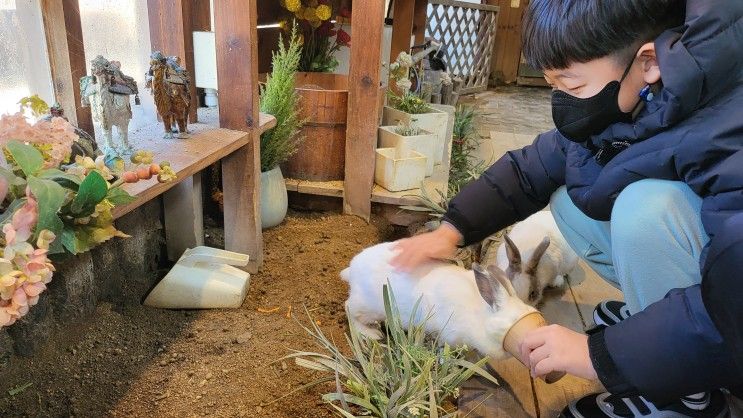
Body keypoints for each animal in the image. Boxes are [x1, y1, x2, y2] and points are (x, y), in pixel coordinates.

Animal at [340, 243, 536, 360]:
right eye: (512, 321)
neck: (480, 315)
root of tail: (352, 269)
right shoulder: (449, 335)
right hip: (368, 306)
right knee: (349, 309)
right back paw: (372, 333)